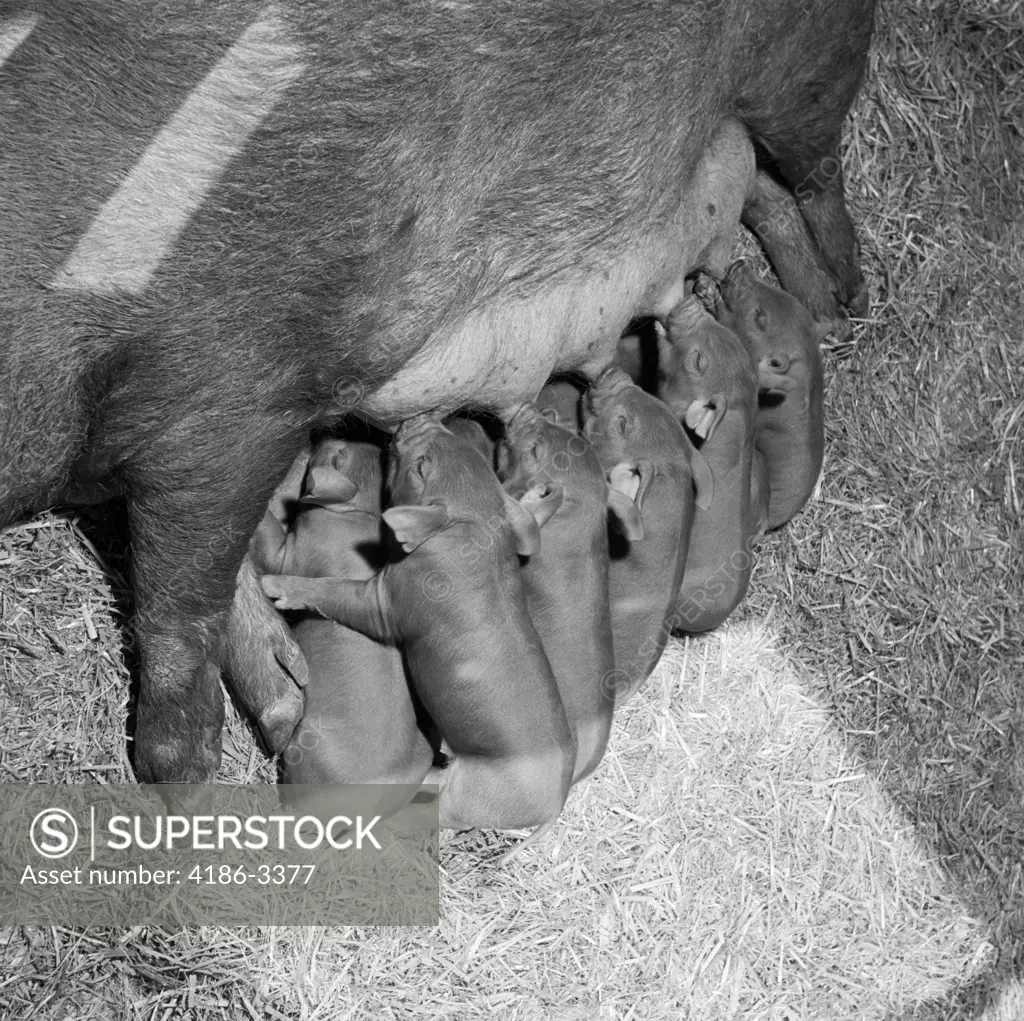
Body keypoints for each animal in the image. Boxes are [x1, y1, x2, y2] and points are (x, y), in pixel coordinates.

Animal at [2, 0, 872, 782]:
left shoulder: (230, 395)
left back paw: (845, 298)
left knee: (813, 173)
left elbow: (178, 609)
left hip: (804, 66)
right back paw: (818, 306)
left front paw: (179, 774)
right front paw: (288, 699)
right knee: (759, 190)